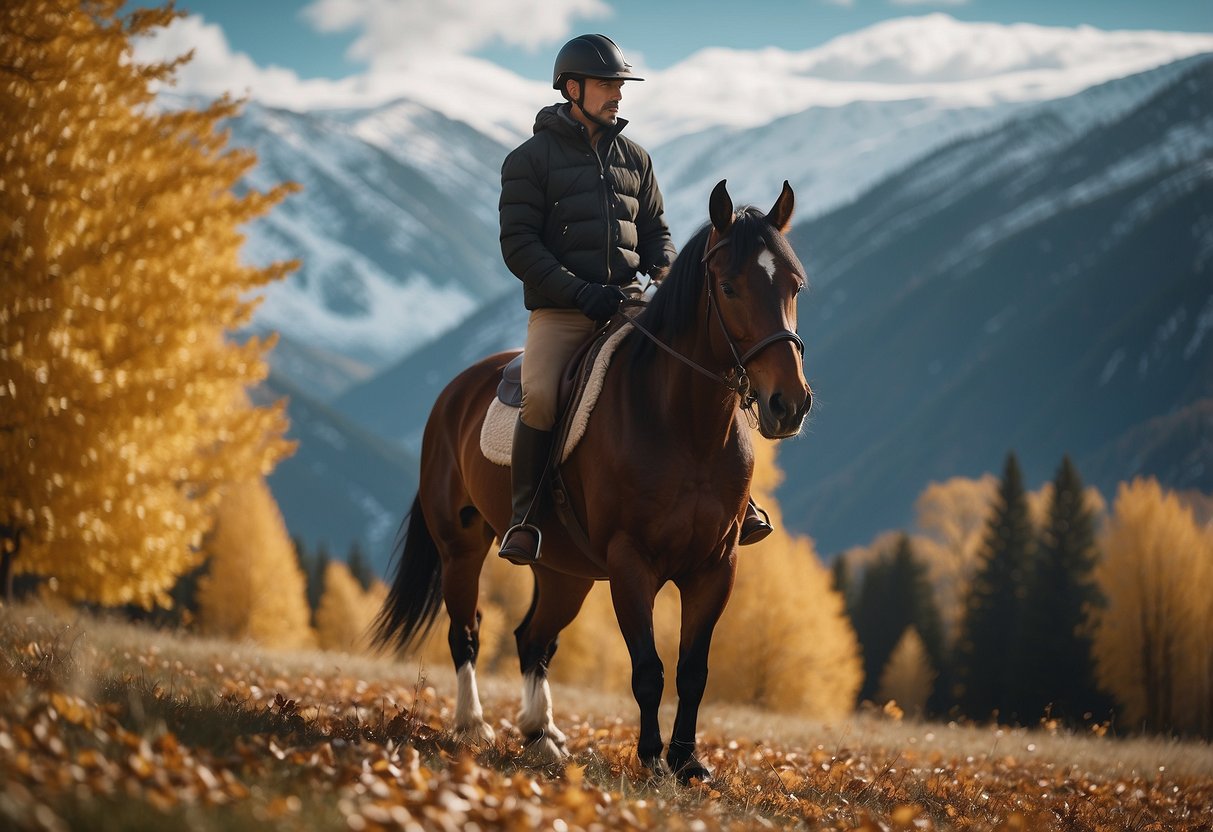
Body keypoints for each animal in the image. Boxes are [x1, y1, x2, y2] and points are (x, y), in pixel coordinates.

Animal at [376, 179, 815, 785]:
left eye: (794, 285)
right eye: (728, 287)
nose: (788, 405)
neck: (685, 428)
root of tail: (455, 392)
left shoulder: (715, 568)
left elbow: (693, 670)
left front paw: (688, 761)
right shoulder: (632, 563)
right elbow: (649, 669)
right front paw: (652, 759)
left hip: (565, 571)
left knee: (534, 640)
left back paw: (541, 735)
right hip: (461, 548)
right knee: (467, 631)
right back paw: (473, 725)